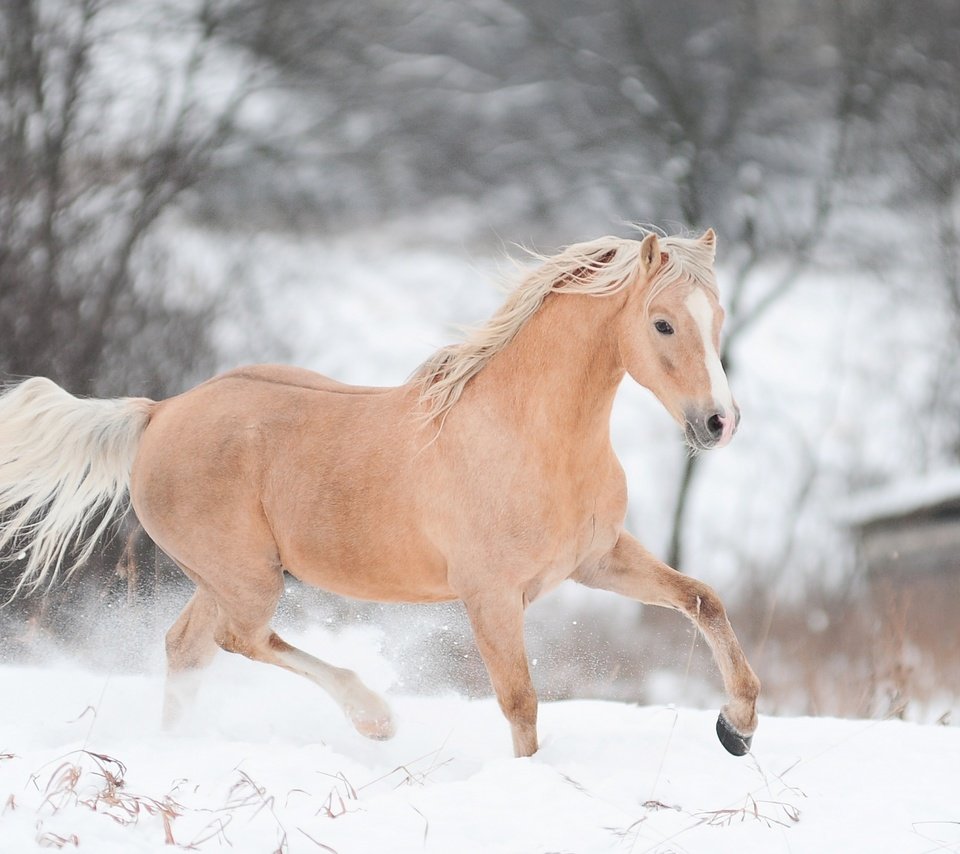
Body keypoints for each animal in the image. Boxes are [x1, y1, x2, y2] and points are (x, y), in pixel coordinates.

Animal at [3, 227, 760, 756]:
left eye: (719, 317)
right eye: (663, 323)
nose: (720, 423)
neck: (528, 435)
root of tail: (158, 413)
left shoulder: (597, 560)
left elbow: (704, 599)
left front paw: (739, 726)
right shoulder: (490, 596)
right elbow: (520, 702)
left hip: (224, 578)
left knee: (188, 646)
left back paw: (177, 749)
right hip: (247, 577)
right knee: (238, 639)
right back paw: (373, 717)